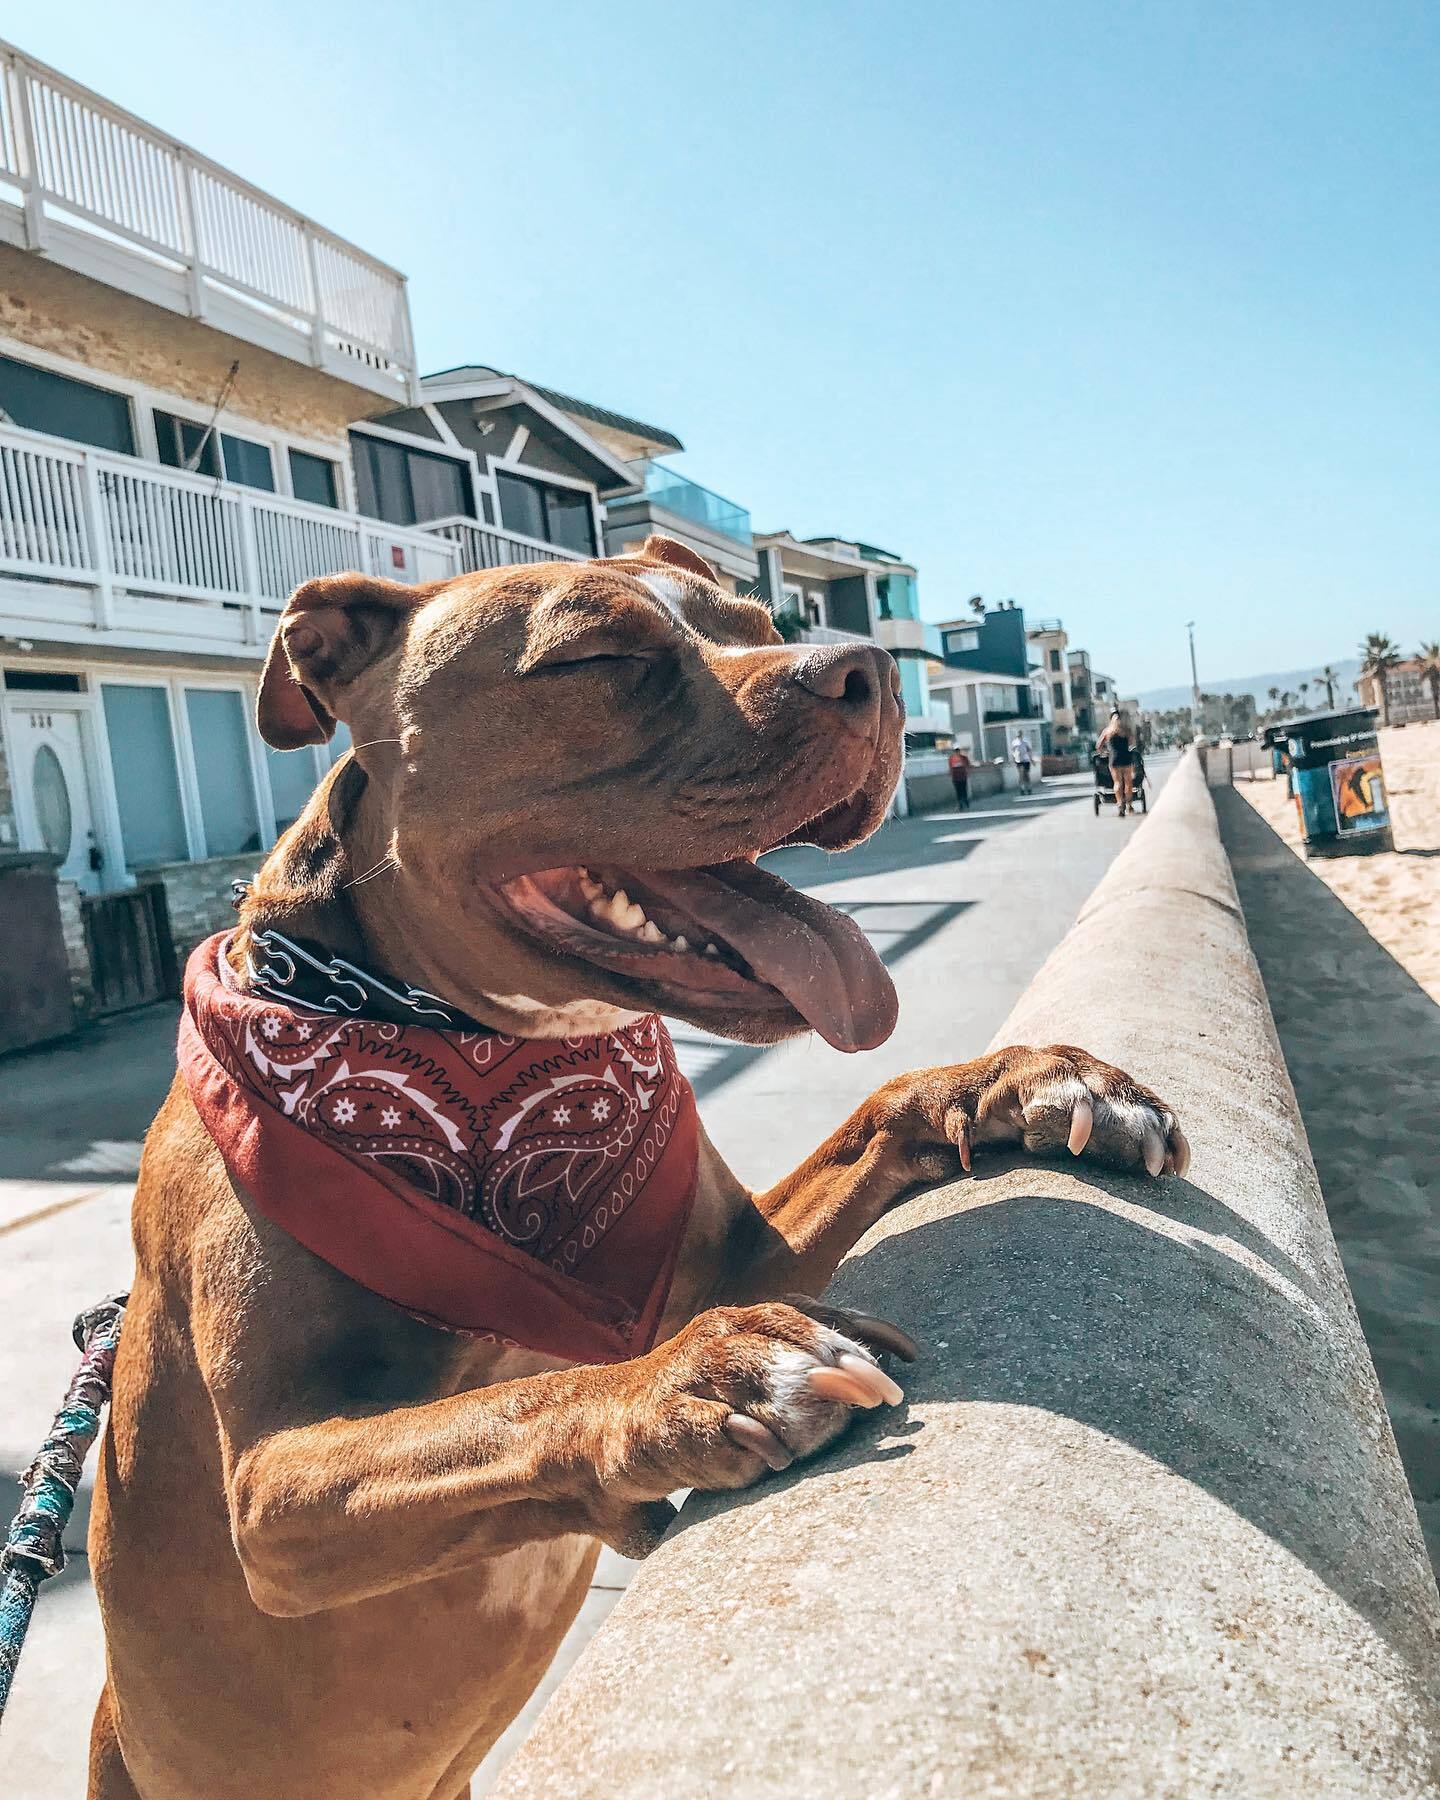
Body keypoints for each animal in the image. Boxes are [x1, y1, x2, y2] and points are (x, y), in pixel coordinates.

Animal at [87, 536, 1180, 1800]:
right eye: (597, 657)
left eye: (757, 620)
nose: (869, 672)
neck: (479, 1063)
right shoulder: (274, 1489)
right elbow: (504, 1407)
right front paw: (695, 1382)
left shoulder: (746, 1257)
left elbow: (875, 1112)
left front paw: (1032, 1080)